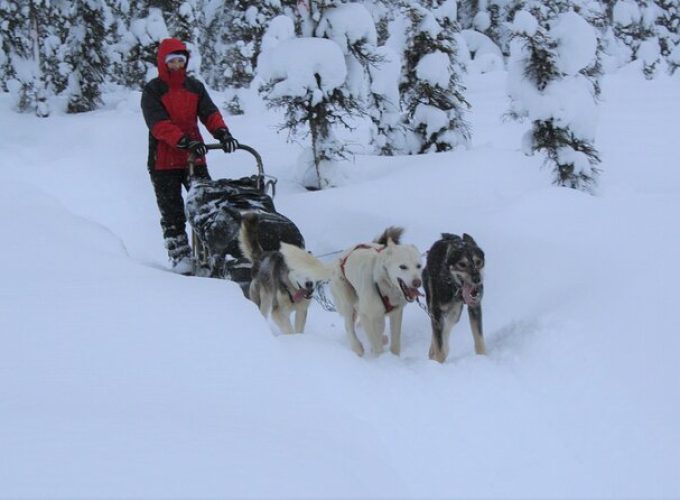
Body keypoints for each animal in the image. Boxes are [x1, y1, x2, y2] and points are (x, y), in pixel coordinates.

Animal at [328, 227, 420, 356]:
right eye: (403, 266)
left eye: (419, 266)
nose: (417, 282)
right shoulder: (367, 315)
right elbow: (376, 344)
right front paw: (381, 358)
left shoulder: (396, 312)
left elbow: (395, 341)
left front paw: (394, 356)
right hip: (347, 301)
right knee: (348, 325)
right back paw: (357, 347)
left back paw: (382, 339)